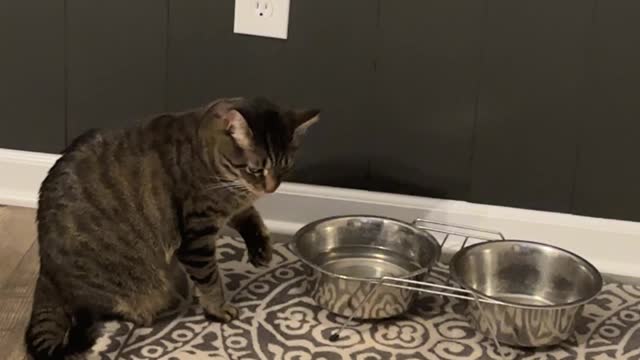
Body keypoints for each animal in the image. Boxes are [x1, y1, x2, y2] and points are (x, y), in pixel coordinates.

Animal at [25, 97, 320, 358]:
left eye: (285, 167)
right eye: (256, 169)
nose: (271, 188)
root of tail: (46, 274)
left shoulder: (234, 205)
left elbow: (251, 219)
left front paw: (261, 249)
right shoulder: (196, 235)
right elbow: (210, 279)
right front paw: (218, 309)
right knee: (115, 311)